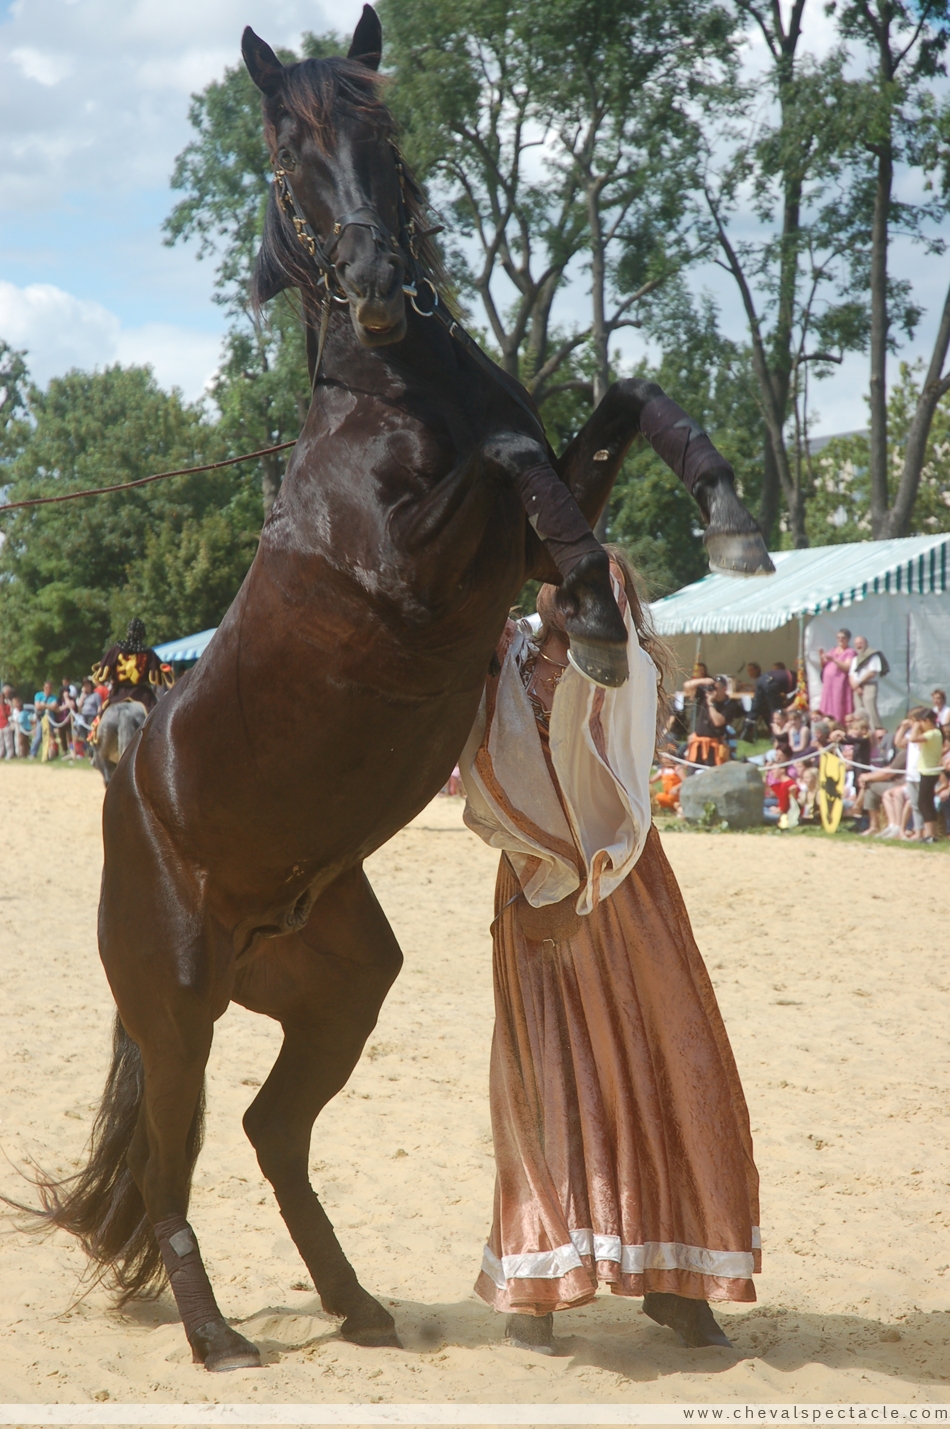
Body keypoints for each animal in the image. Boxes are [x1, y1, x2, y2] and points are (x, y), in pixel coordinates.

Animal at [28, 6, 772, 1372]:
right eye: (284, 145)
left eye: (380, 129)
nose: (377, 287)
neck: (386, 395)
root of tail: (127, 772)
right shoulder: (417, 576)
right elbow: (513, 448)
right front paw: (602, 613)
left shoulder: (510, 542)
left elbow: (615, 401)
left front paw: (723, 517)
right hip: (175, 1007)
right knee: (170, 1165)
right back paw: (217, 1335)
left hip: (332, 991)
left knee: (269, 1132)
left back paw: (358, 1305)